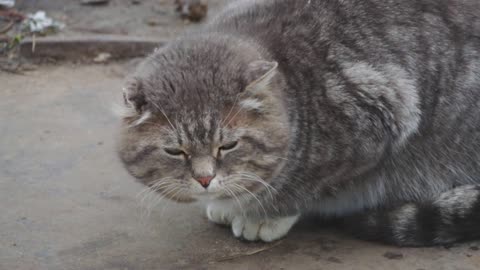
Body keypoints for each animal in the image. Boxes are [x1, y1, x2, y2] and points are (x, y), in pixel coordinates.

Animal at [116, 0, 480, 246]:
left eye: (228, 145)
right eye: (175, 152)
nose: (205, 180)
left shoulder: (384, 114)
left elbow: (307, 184)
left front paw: (264, 214)